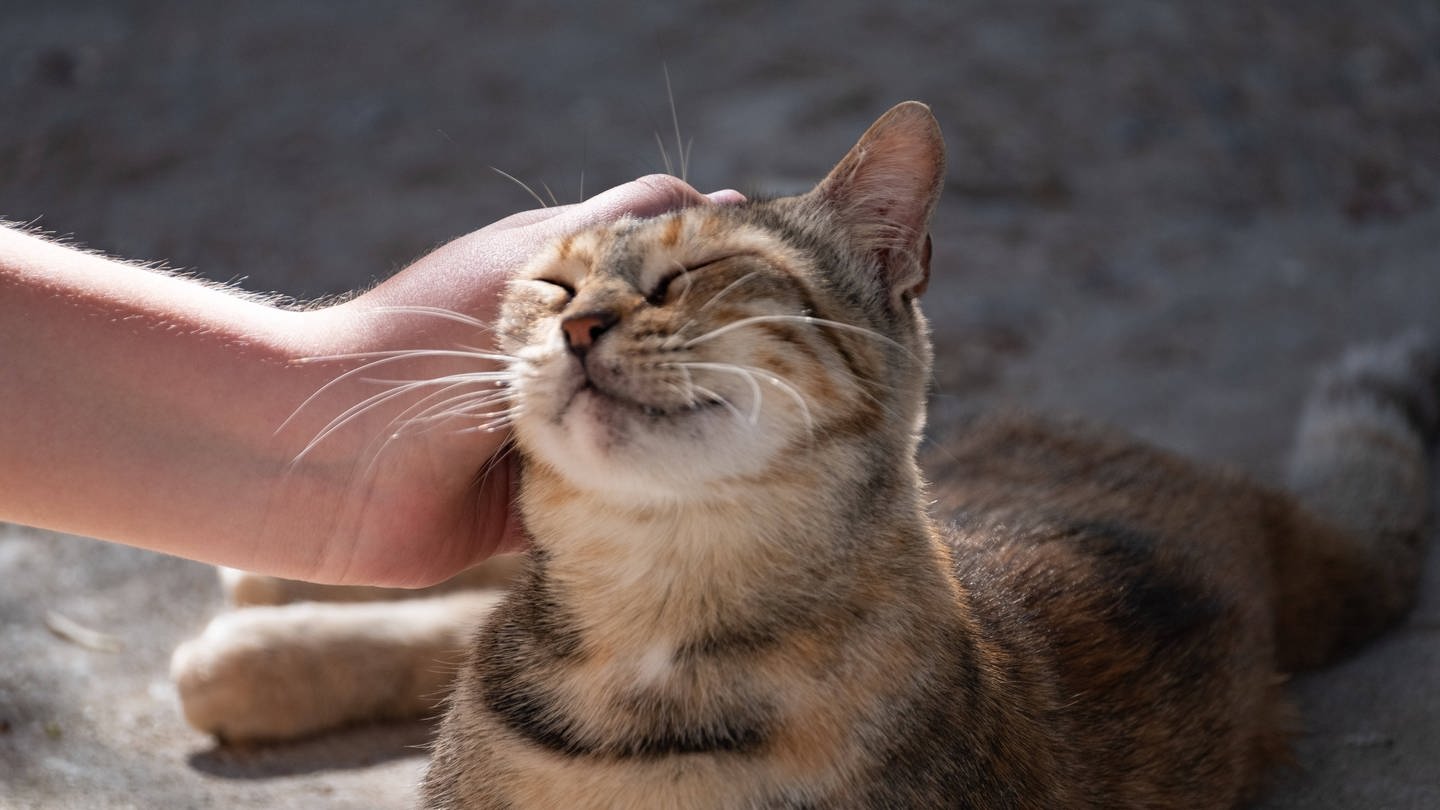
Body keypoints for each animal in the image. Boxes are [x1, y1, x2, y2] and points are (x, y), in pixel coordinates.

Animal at [174, 102, 1434, 807]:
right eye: (554, 287)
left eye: (690, 276)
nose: (583, 326)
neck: (647, 633)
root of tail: (1250, 510)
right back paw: (265, 614)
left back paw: (251, 646)